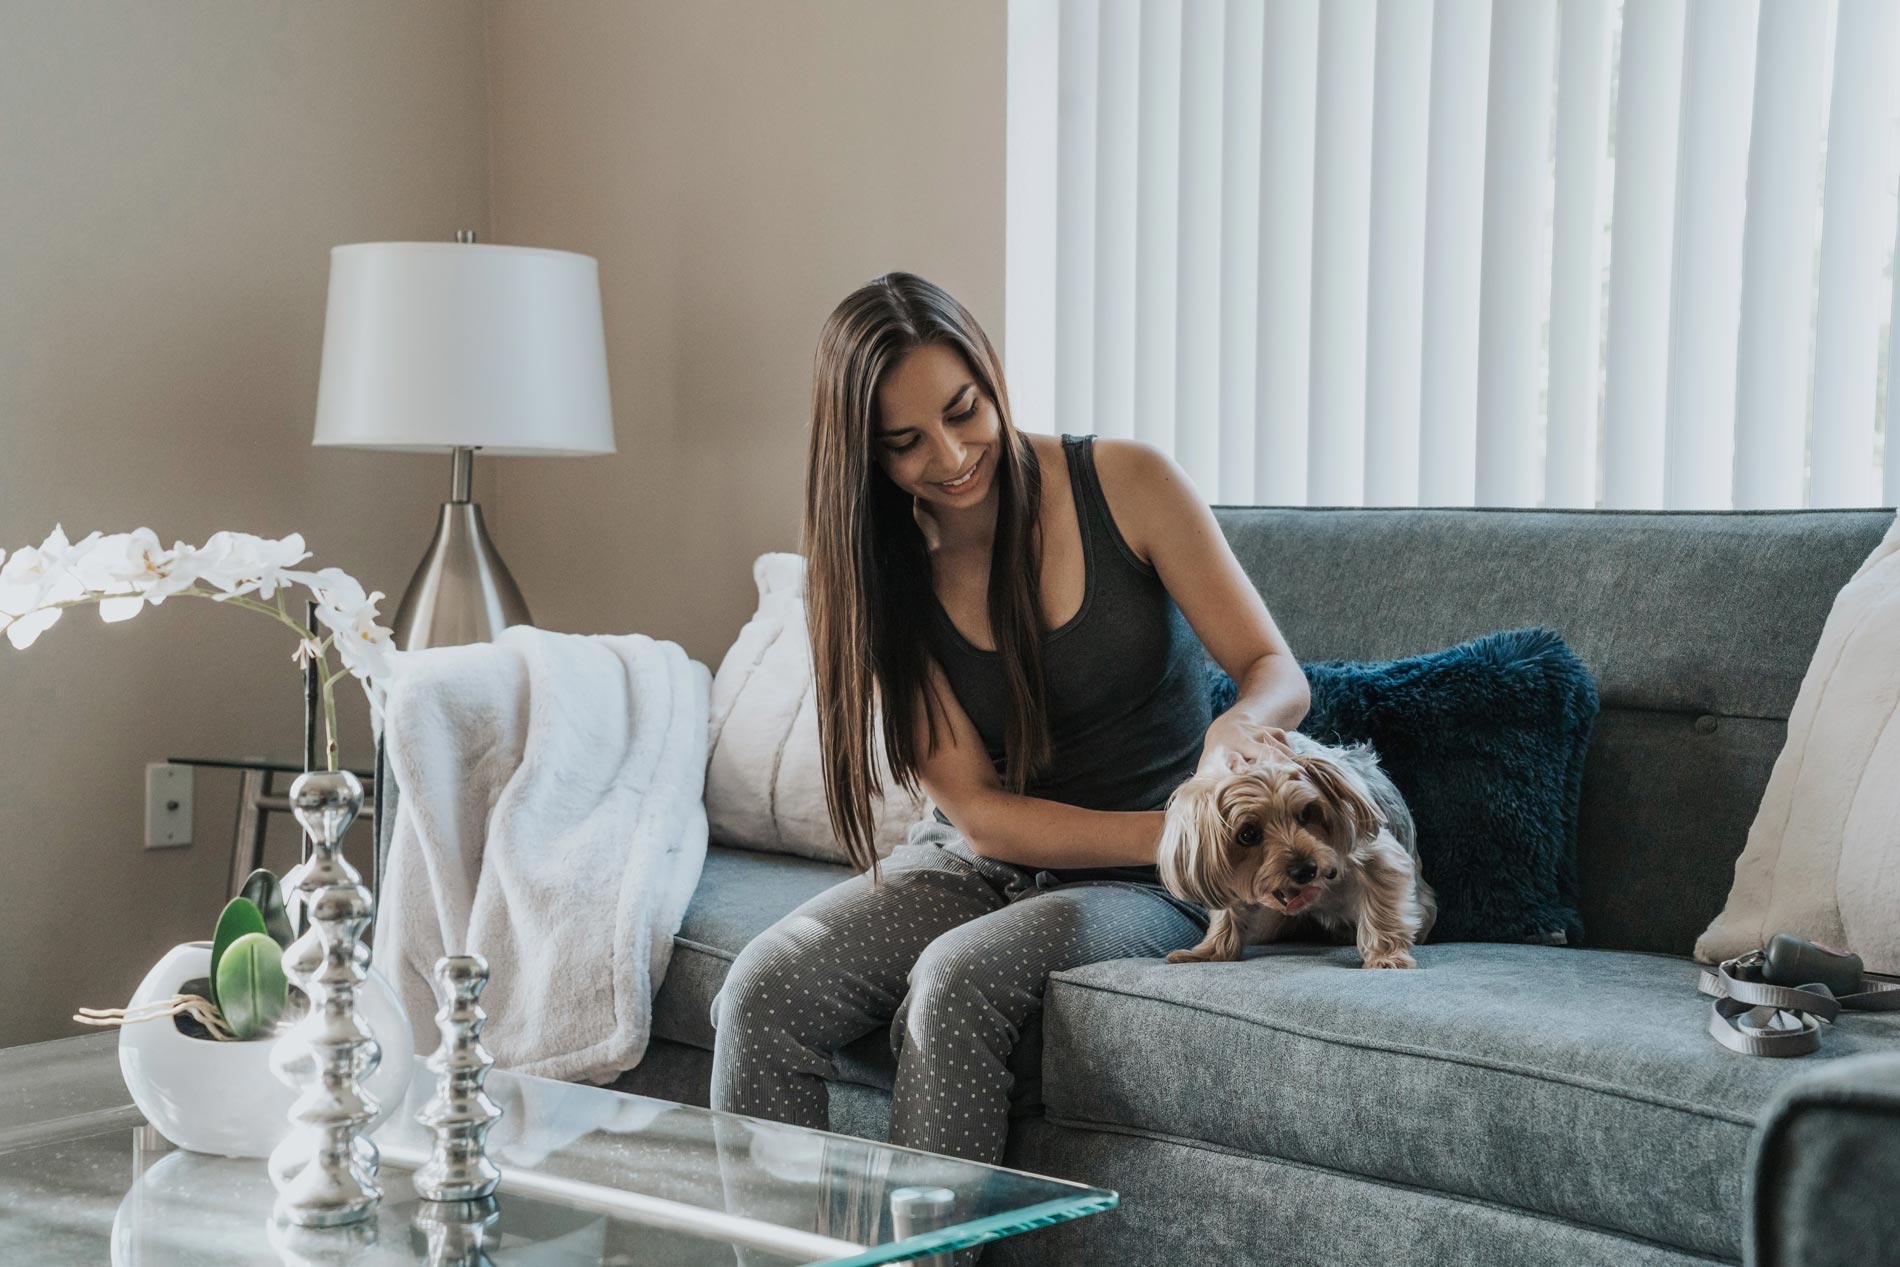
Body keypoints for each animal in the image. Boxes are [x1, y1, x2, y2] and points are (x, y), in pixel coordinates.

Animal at [1155, 733, 1436, 972]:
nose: (1305, 871)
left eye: (1306, 813)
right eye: (1248, 834)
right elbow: (1227, 913)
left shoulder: (1377, 855)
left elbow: (1382, 904)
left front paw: (1386, 957)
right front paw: (1209, 952)